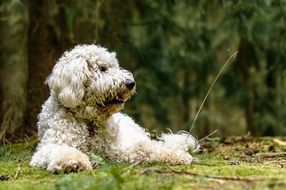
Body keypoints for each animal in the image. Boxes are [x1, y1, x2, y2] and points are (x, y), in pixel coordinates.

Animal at [29, 45, 199, 174]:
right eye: (103, 68)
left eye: (115, 66)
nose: (131, 83)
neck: (89, 122)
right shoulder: (49, 146)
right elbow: (63, 150)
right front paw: (73, 162)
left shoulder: (116, 149)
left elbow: (145, 149)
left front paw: (177, 156)